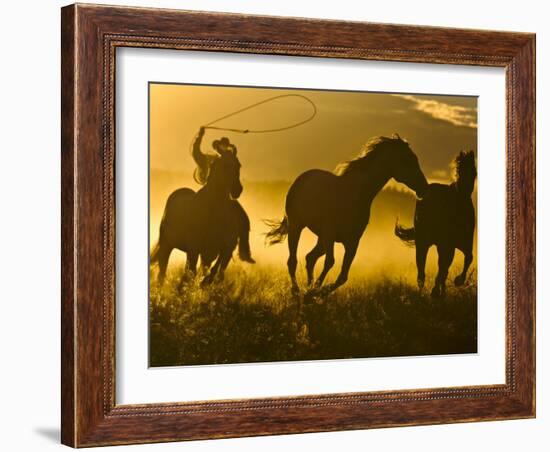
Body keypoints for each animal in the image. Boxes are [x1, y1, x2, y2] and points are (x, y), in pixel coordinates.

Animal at [268, 134, 432, 294]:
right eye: (407, 160)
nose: (424, 187)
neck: (354, 194)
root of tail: (302, 178)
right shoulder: (330, 234)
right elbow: (330, 262)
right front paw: (315, 290)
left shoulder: (352, 241)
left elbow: (342, 277)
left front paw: (317, 291)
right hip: (297, 226)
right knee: (293, 260)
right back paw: (296, 291)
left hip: (320, 238)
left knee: (310, 258)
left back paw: (307, 286)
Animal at [396, 150, 478, 298]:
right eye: (459, 170)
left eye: (474, 171)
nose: (464, 190)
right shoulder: (447, 244)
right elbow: (442, 268)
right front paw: (436, 291)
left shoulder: (461, 244)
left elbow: (467, 258)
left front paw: (457, 281)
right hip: (423, 242)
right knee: (421, 271)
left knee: (441, 267)